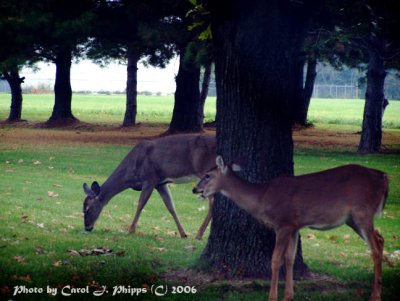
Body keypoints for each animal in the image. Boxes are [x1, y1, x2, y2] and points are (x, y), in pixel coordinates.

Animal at [82, 134, 217, 239]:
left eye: (88, 208)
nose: (87, 227)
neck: (131, 172)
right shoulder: (160, 183)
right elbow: (171, 206)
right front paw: (183, 233)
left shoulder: (149, 178)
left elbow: (140, 204)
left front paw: (131, 230)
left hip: (205, 171)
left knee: (212, 201)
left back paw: (199, 234)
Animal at [193, 156, 388, 298]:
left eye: (207, 175)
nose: (195, 189)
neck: (263, 198)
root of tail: (383, 177)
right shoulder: (295, 226)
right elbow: (289, 259)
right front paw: (288, 295)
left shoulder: (283, 223)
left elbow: (275, 260)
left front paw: (272, 297)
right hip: (352, 219)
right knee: (380, 239)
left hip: (362, 212)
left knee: (374, 249)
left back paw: (375, 295)